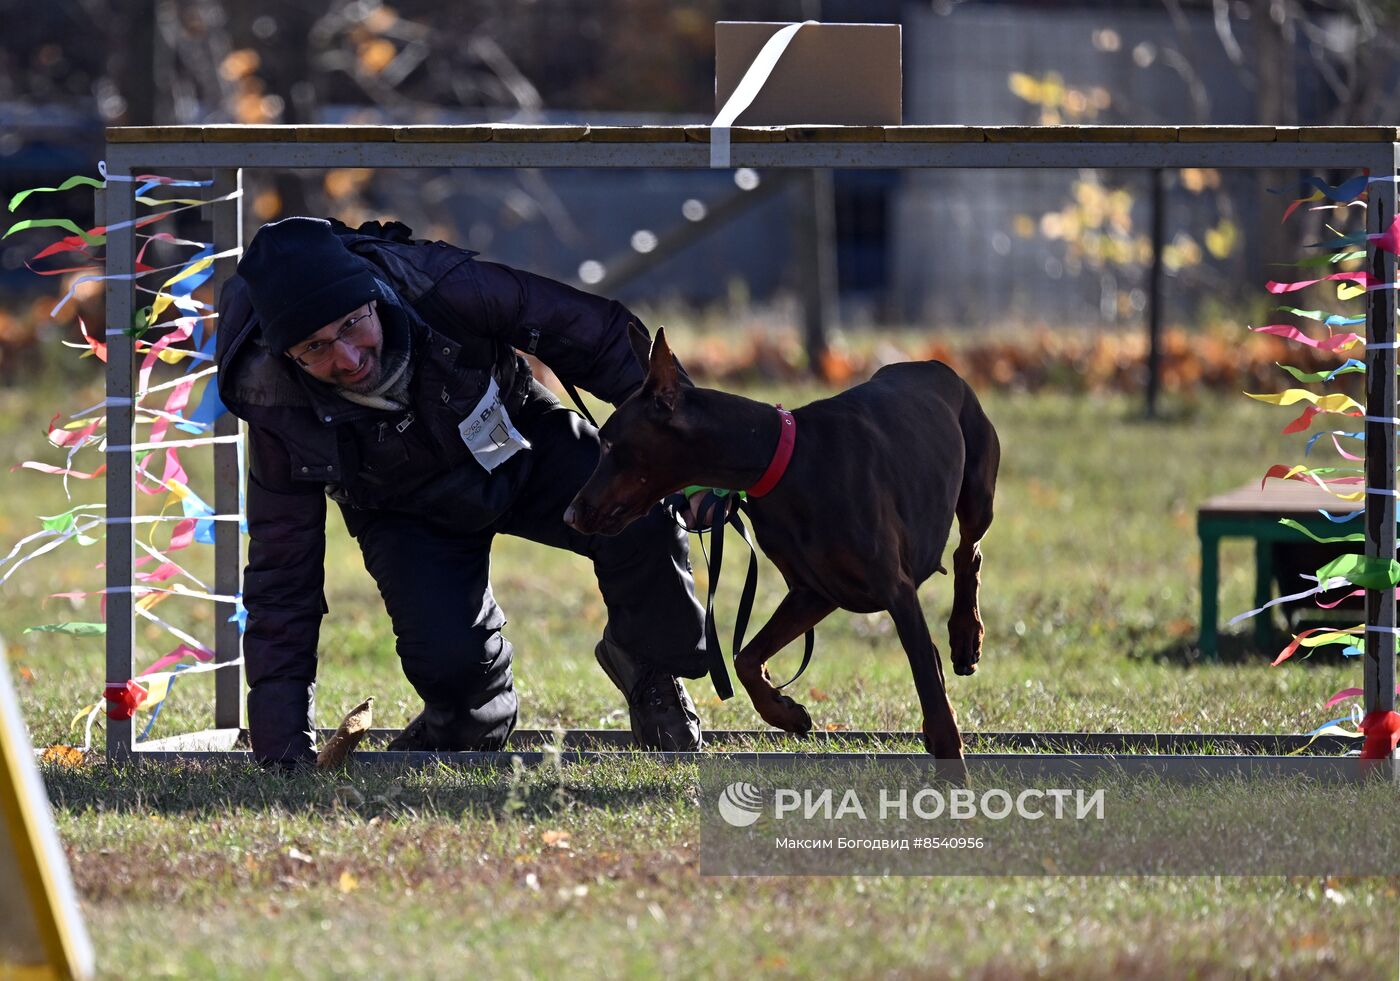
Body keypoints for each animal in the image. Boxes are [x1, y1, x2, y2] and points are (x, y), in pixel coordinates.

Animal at [562, 327, 1002, 755]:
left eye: (610, 443)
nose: (569, 514)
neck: (784, 465)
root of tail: (933, 364)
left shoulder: (895, 589)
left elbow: (926, 675)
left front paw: (950, 760)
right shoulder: (815, 591)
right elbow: (745, 658)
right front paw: (785, 712)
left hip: (978, 490)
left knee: (969, 552)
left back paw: (965, 637)